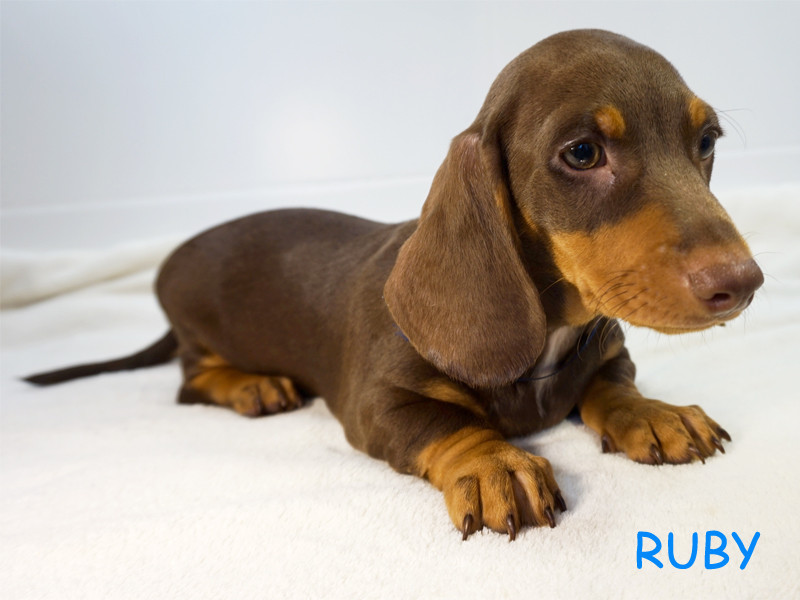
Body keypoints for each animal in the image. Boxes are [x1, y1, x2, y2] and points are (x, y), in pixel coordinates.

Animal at [26, 29, 763, 540]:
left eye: (707, 140)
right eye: (582, 152)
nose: (743, 282)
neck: (551, 329)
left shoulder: (608, 356)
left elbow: (610, 386)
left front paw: (653, 413)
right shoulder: (374, 403)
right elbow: (447, 421)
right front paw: (492, 464)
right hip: (199, 328)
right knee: (188, 379)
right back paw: (249, 385)